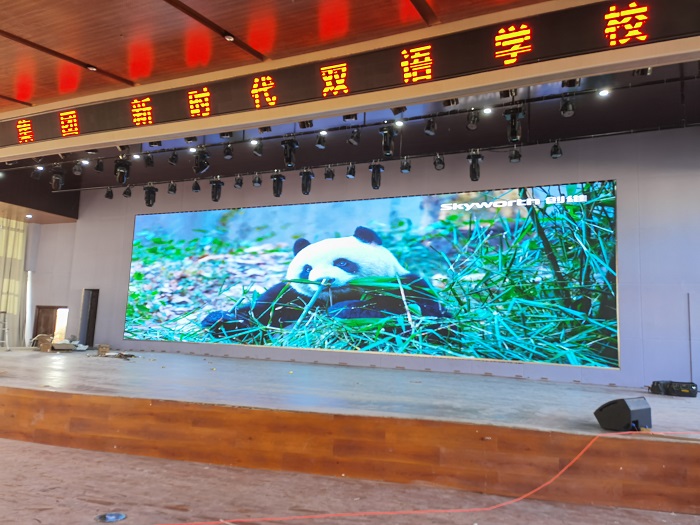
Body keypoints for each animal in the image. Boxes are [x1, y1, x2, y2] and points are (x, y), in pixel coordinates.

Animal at [200, 225, 448, 336]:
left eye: (342, 263)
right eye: (307, 269)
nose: (323, 280)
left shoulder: (406, 284)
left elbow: (423, 313)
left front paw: (345, 310)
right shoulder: (289, 296)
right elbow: (259, 315)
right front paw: (219, 319)